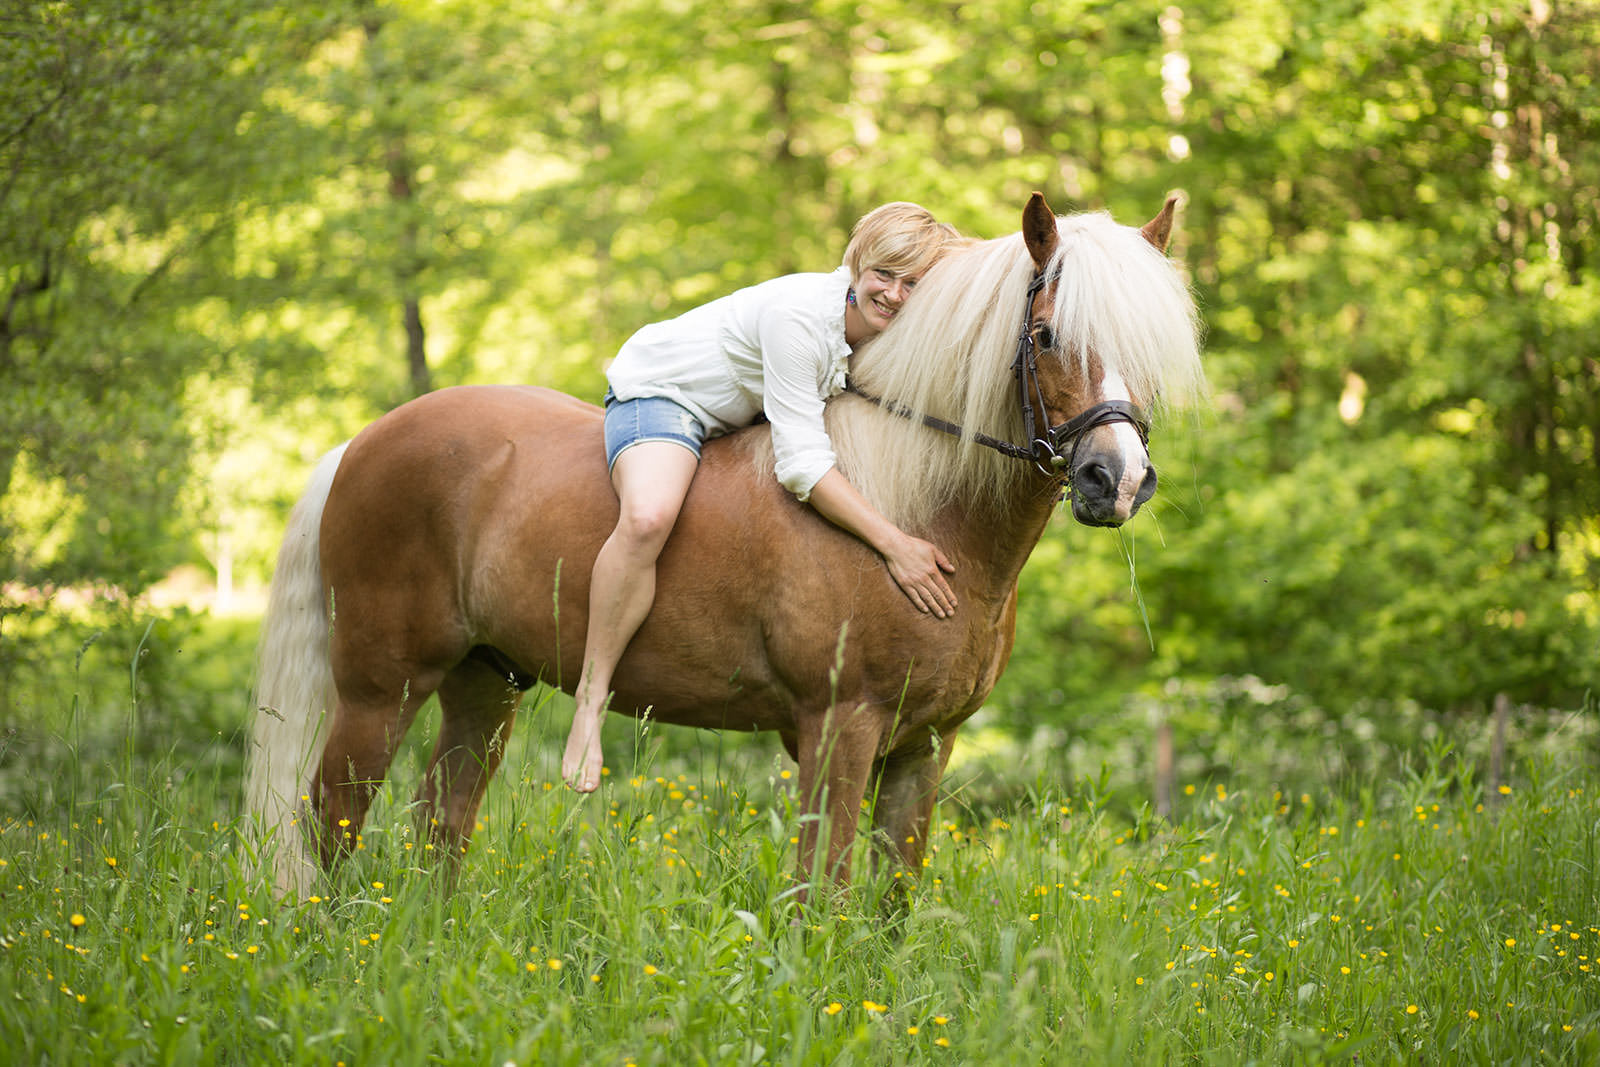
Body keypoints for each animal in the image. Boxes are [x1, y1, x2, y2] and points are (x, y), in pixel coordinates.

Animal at [246, 191, 1203, 895]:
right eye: (1046, 335)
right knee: (331, 822)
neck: (908, 513)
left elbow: (891, 899)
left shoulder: (926, 745)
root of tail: (360, 444)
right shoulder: (839, 728)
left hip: (484, 685)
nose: (1115, 480)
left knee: (440, 826)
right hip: (380, 688)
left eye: (1152, 350)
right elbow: (824, 893)